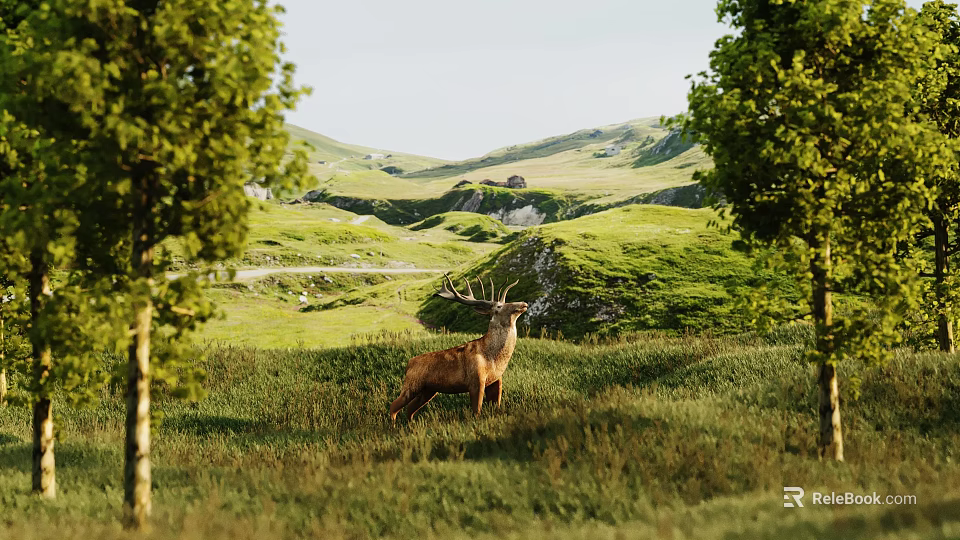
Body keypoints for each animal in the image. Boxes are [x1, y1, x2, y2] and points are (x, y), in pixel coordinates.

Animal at [389, 274, 528, 424]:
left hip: (428, 390)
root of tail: (409, 364)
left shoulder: (496, 380)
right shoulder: (476, 380)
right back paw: (393, 426)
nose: (523, 303)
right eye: (499, 306)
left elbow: (496, 406)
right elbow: (476, 411)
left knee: (410, 409)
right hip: (412, 384)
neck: (493, 358)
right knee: (394, 405)